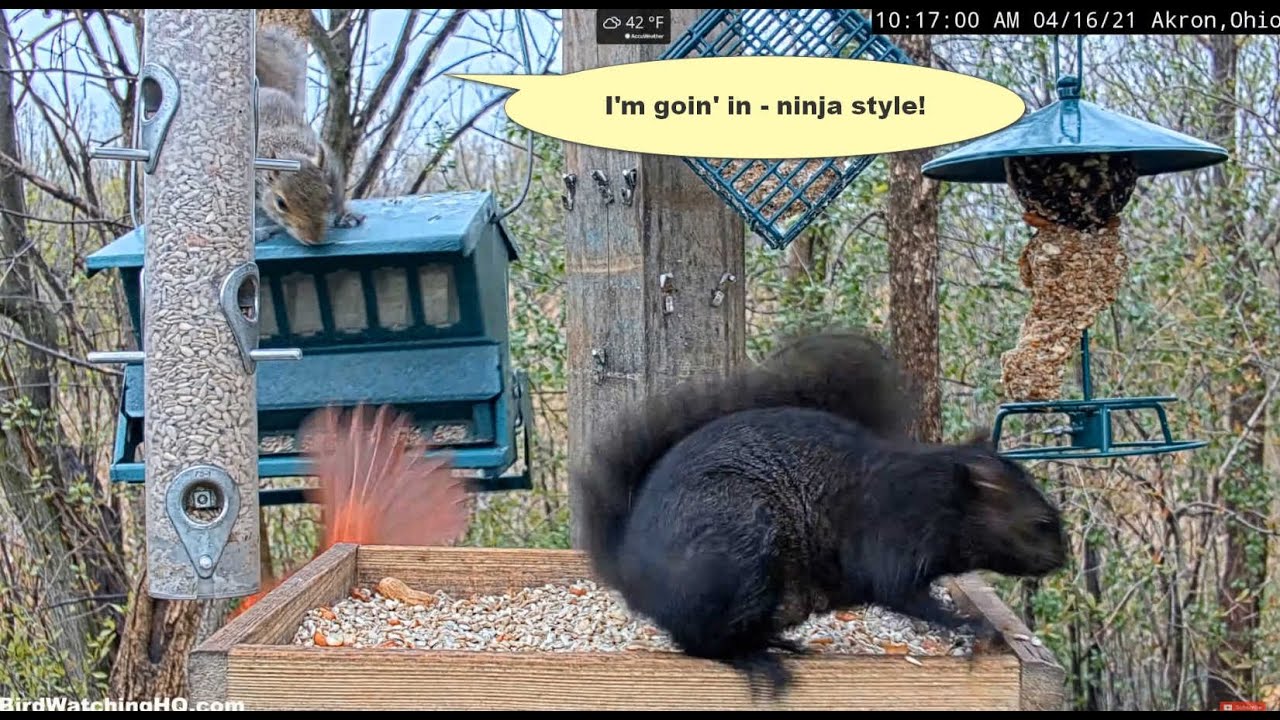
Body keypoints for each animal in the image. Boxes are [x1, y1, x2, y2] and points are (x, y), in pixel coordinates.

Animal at [253, 25, 363, 246]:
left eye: (327, 194)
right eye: (280, 203)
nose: (314, 239)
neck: (288, 151)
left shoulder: (331, 169)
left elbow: (340, 198)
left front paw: (345, 216)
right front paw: (260, 231)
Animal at [578, 327, 1068, 701]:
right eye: (1042, 523)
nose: (1060, 559)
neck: (940, 500)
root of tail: (632, 574)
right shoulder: (894, 537)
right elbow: (903, 594)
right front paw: (971, 625)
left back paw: (779, 643)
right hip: (736, 548)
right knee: (703, 644)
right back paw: (758, 661)